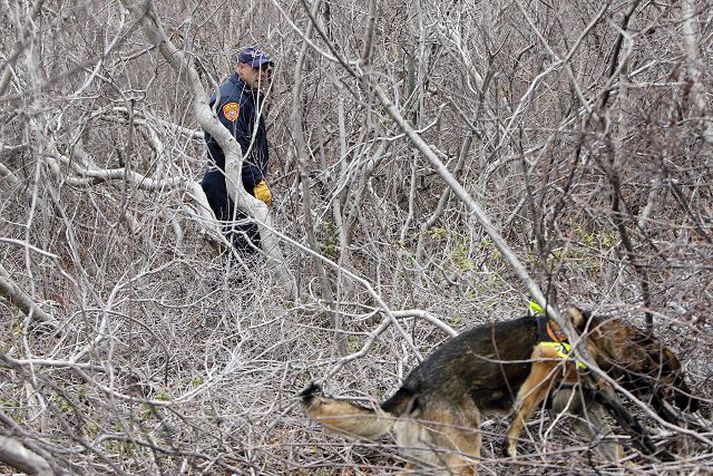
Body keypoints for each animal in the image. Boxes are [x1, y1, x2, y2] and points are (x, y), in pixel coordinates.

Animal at [298, 306, 700, 474]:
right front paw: (512, 447)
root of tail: (413, 383)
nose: (696, 405)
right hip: (464, 457)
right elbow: (521, 414)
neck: (594, 339)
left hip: (428, 463)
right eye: (678, 378)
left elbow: (613, 445)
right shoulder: (544, 361)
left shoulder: (583, 411)